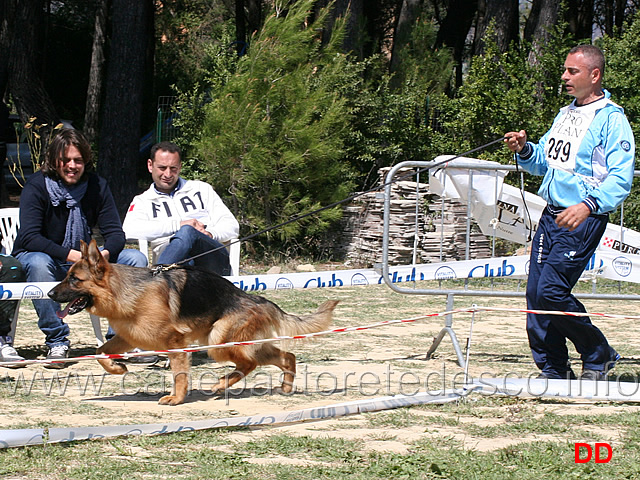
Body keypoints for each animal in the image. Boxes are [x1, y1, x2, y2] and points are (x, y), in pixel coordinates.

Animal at [47, 240, 338, 404]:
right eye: (67, 276)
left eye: (74, 280)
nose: (49, 294)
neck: (123, 291)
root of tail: (258, 299)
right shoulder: (128, 337)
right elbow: (99, 352)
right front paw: (117, 369)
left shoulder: (175, 343)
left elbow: (179, 374)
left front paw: (176, 399)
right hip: (236, 342)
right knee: (286, 356)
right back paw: (284, 387)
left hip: (218, 341)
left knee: (250, 363)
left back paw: (222, 384)